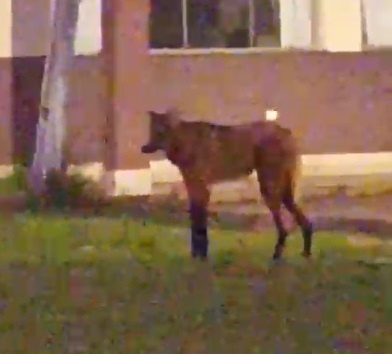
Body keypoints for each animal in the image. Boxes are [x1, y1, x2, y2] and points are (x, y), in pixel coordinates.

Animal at [140, 109, 312, 262]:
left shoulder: (201, 187)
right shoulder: (194, 186)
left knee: (284, 229)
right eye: (152, 132)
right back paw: (305, 254)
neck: (185, 143)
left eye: (161, 132)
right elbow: (196, 222)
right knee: (306, 223)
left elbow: (199, 224)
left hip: (269, 189)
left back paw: (277, 257)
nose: (144, 148)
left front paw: (201, 256)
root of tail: (286, 131)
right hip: (284, 193)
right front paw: (197, 255)